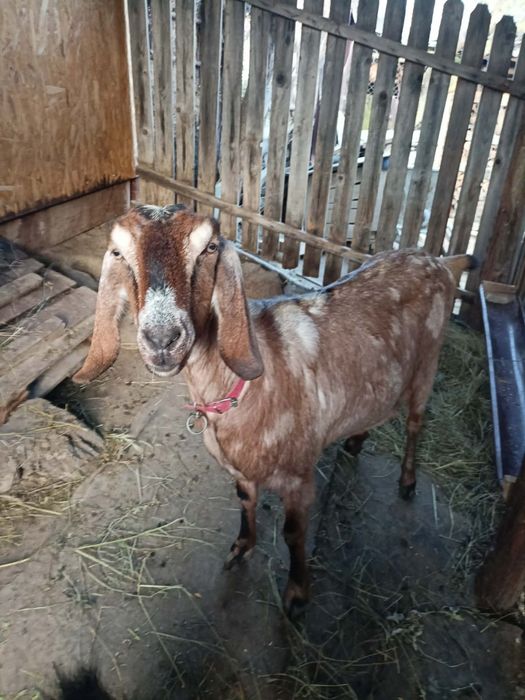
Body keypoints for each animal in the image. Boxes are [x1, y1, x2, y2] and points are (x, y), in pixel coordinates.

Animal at [73, 204, 476, 615]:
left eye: (210, 247)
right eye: (118, 252)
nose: (162, 339)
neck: (244, 386)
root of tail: (439, 260)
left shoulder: (299, 478)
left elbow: (293, 533)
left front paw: (297, 595)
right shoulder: (241, 472)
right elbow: (245, 503)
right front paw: (241, 548)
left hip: (427, 365)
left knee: (415, 422)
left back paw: (408, 482)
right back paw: (355, 441)